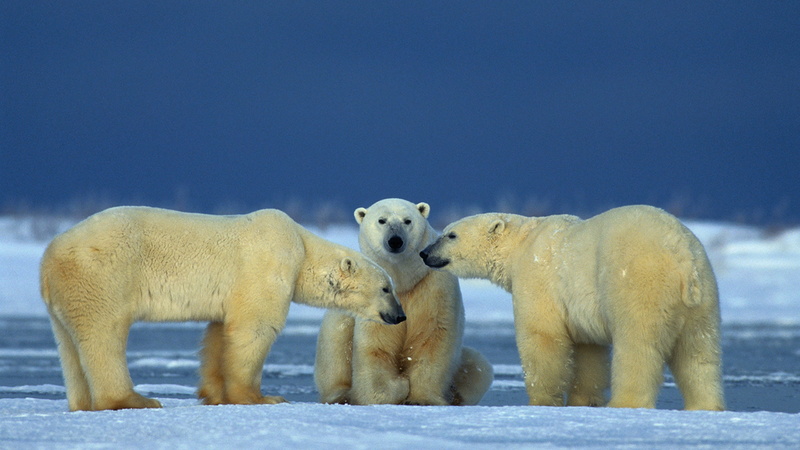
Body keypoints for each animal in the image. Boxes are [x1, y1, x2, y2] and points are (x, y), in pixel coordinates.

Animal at [39, 206, 406, 412]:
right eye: (386, 288)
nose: (400, 315)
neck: (302, 248)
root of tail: (48, 258)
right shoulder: (267, 264)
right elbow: (254, 328)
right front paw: (261, 398)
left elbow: (219, 334)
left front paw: (214, 395)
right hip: (103, 276)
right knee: (104, 335)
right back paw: (134, 400)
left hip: (64, 297)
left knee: (68, 343)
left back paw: (82, 405)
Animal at [314, 198, 493, 405]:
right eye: (381, 220)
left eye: (407, 221)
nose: (395, 240)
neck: (402, 281)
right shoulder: (374, 299)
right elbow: (376, 346)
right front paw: (395, 388)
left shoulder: (432, 287)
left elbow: (432, 339)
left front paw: (422, 399)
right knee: (334, 345)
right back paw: (341, 396)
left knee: (479, 366)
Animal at [420, 205, 724, 411]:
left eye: (450, 235)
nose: (424, 253)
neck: (521, 244)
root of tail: (682, 257)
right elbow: (589, 351)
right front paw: (584, 401)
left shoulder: (536, 277)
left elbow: (542, 337)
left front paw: (541, 401)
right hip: (704, 296)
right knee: (698, 351)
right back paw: (705, 406)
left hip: (640, 284)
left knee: (637, 346)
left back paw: (625, 402)